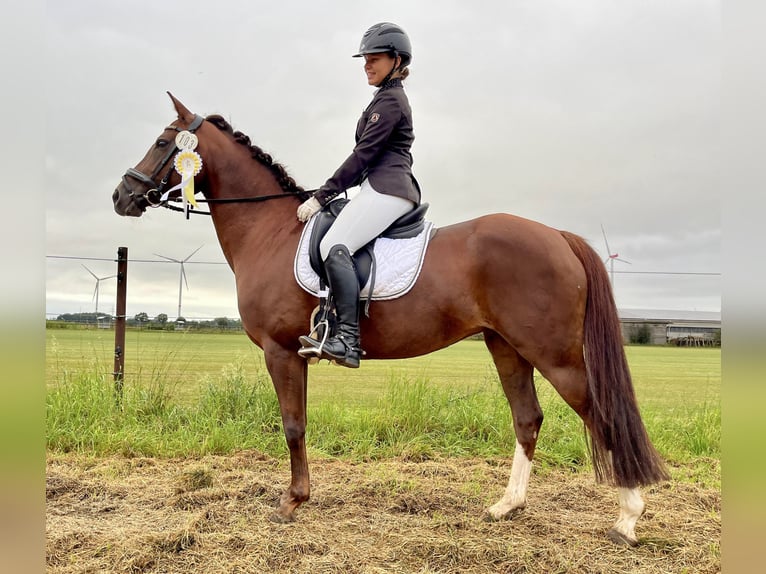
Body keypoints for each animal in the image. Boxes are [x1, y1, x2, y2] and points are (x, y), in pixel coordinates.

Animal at [111, 92, 668, 548]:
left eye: (162, 142)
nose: (121, 196)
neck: (270, 232)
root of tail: (556, 235)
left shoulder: (280, 351)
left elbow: (292, 425)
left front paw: (291, 502)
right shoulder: (298, 353)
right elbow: (301, 423)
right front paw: (300, 496)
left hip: (554, 354)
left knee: (600, 415)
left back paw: (627, 518)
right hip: (506, 346)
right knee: (527, 418)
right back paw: (507, 506)